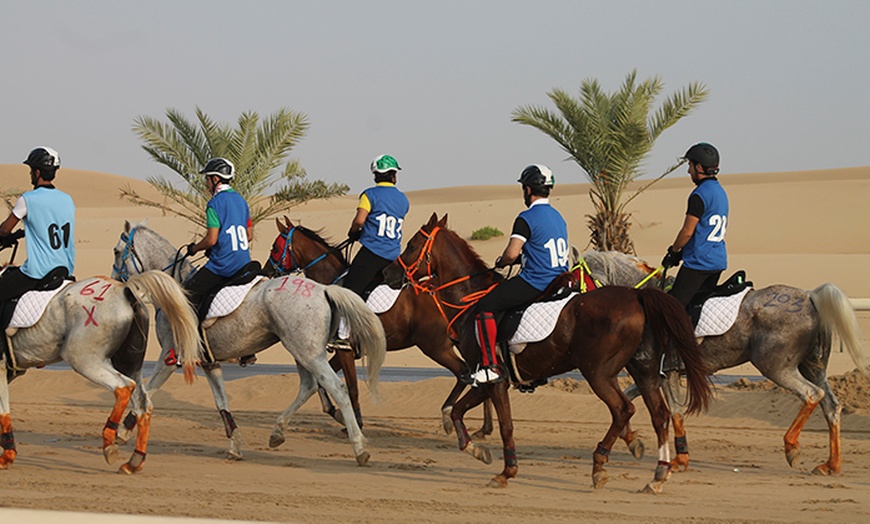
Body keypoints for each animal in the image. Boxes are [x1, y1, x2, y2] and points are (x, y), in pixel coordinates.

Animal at [0, 256, 198, 472]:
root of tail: (125, 290)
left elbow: (3, 412)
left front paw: (7, 456)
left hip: (83, 359)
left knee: (123, 386)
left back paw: (109, 442)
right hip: (128, 363)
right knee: (143, 403)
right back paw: (134, 461)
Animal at [111, 219, 388, 464]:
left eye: (116, 251)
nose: (115, 279)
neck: (173, 290)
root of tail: (324, 289)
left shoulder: (170, 356)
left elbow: (147, 391)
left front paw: (121, 432)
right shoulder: (210, 363)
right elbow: (221, 403)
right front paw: (235, 445)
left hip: (309, 354)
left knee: (337, 388)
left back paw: (359, 447)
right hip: (301, 351)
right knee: (309, 386)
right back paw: (278, 432)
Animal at [262, 215, 494, 436]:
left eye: (275, 247)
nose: (267, 271)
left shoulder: (345, 350)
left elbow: (352, 388)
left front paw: (354, 422)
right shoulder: (344, 352)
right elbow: (322, 382)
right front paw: (335, 412)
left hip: (435, 347)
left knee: (464, 372)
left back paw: (449, 415)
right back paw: (485, 427)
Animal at [388, 213, 716, 492]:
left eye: (412, 244)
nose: (388, 272)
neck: (472, 301)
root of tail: (636, 295)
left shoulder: (494, 379)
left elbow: (505, 425)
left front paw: (506, 471)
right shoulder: (487, 380)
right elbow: (457, 411)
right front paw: (478, 449)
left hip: (598, 373)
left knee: (623, 410)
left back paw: (600, 465)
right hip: (643, 370)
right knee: (659, 414)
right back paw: (658, 474)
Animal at [580, 250, 870, 474]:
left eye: (577, 276)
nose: (575, 305)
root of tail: (810, 296)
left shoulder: (661, 372)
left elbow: (672, 411)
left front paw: (677, 458)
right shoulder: (657, 374)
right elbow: (633, 400)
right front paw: (633, 441)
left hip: (776, 367)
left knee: (812, 395)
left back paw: (791, 446)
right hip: (813, 366)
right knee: (831, 405)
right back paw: (831, 465)